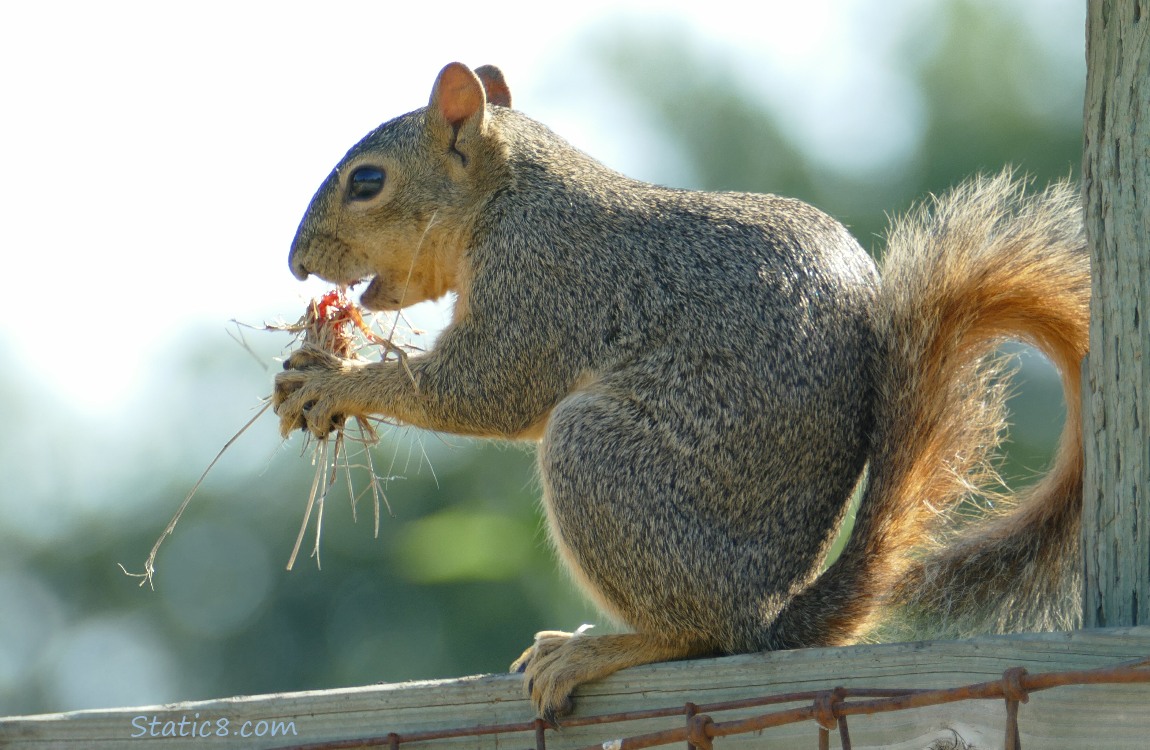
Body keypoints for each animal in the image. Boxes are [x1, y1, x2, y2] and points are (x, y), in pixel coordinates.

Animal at [273, 62, 1090, 722]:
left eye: (368, 182)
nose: (295, 262)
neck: (508, 195)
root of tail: (765, 616)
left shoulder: (541, 281)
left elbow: (485, 389)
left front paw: (333, 381)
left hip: (601, 462)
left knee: (697, 636)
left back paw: (590, 650)